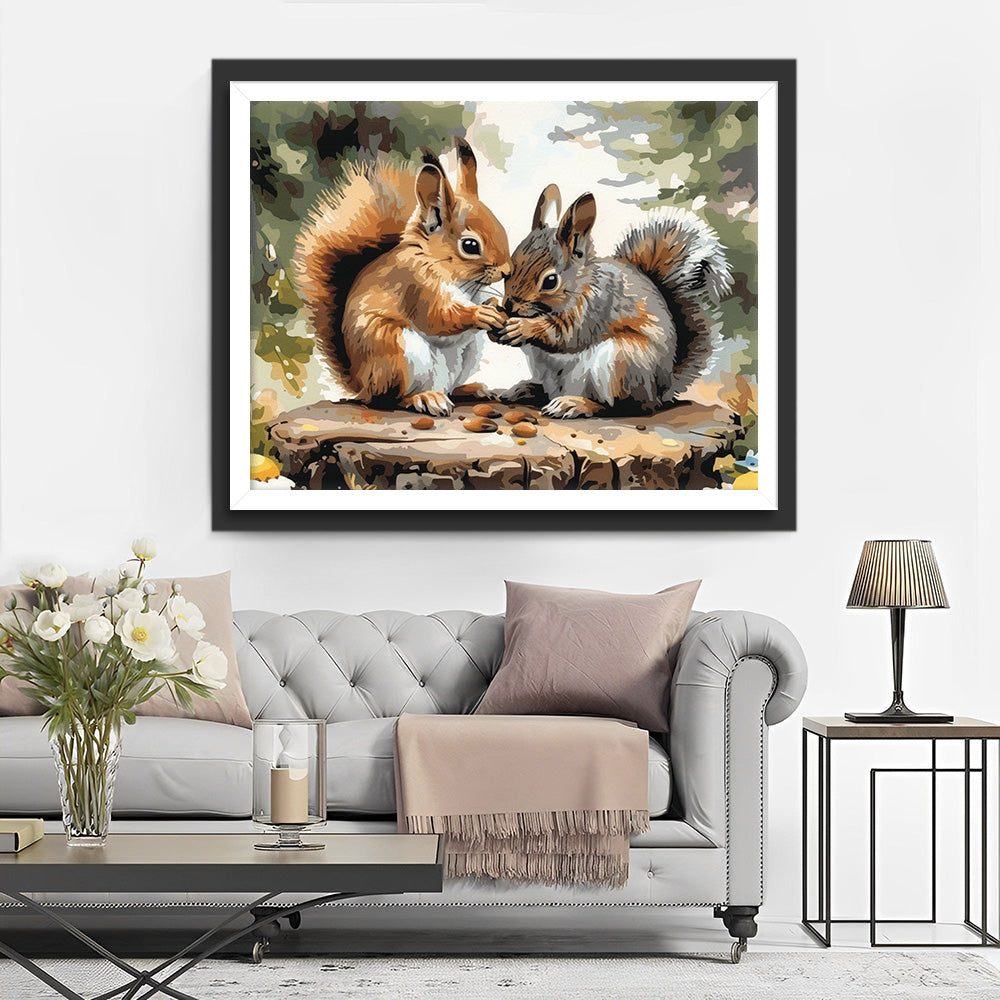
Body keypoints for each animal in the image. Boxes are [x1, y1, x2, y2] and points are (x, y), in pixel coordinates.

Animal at [293, 139, 510, 416]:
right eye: (470, 245)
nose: (507, 270)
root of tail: (361, 386)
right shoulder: (416, 286)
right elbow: (438, 318)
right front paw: (480, 314)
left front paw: (493, 306)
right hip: (393, 353)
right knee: (389, 399)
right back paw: (423, 398)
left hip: (467, 356)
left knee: (450, 388)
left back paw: (471, 389)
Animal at [493, 184, 732, 418]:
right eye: (508, 271)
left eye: (550, 281)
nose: (509, 306)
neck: (582, 284)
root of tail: (661, 391)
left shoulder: (597, 306)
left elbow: (566, 334)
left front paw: (523, 327)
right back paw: (527, 390)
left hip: (621, 365)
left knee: (620, 407)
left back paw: (575, 404)